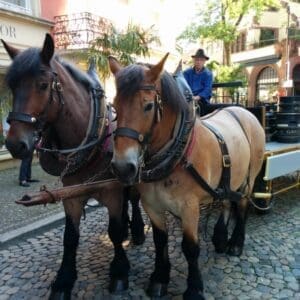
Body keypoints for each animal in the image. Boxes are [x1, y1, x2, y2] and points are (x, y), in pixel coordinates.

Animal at [0, 34, 144, 298]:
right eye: (12, 86)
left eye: (43, 85)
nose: (15, 144)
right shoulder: (71, 195)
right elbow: (70, 237)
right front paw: (64, 279)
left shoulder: (111, 191)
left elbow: (114, 230)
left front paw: (119, 271)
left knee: (134, 199)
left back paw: (137, 230)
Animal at [108, 54, 264, 300]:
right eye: (114, 107)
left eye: (148, 106)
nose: (123, 167)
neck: (176, 153)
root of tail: (243, 111)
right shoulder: (151, 205)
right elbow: (159, 240)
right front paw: (159, 278)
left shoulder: (189, 207)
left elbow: (190, 248)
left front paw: (194, 288)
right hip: (231, 179)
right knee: (226, 201)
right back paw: (221, 238)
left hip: (250, 177)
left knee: (242, 206)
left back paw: (236, 244)